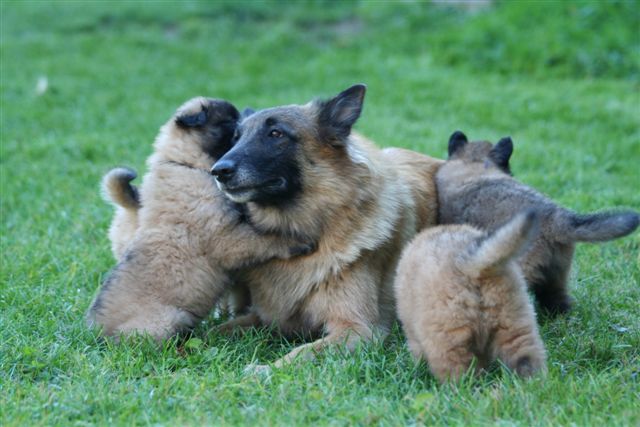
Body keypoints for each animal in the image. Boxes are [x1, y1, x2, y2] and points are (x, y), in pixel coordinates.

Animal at [87, 97, 312, 342]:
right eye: (230, 122)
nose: (249, 114)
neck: (186, 164)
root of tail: (99, 333)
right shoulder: (226, 237)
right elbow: (263, 240)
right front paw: (296, 242)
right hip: (169, 319)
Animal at [208, 85, 442, 370]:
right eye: (236, 138)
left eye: (276, 133)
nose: (218, 171)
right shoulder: (266, 317)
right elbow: (217, 330)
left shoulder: (357, 329)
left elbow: (301, 353)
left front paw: (265, 369)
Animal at [398, 212, 548, 382]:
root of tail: (472, 267)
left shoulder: (413, 332)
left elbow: (416, 349)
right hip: (514, 320)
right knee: (525, 356)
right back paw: (534, 381)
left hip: (448, 335)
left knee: (455, 366)